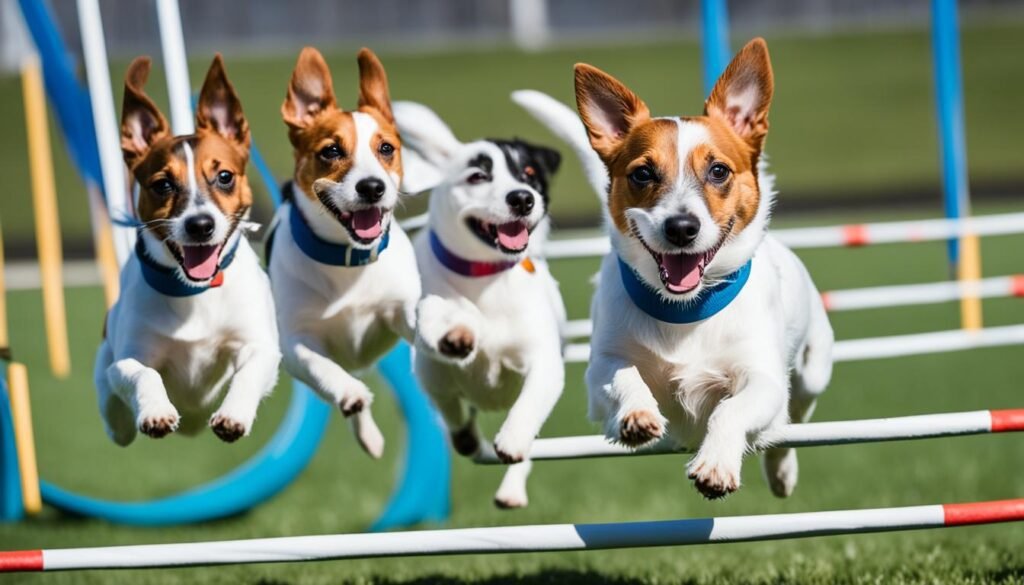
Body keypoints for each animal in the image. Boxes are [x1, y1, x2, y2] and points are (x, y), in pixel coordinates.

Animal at [268, 48, 419, 456]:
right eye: (332, 151)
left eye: (386, 149)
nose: (372, 187)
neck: (347, 260)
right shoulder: (296, 341)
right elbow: (321, 366)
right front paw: (350, 393)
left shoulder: (399, 307)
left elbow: (421, 319)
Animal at [393, 100, 569, 508]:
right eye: (477, 176)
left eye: (529, 174)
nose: (522, 197)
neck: (485, 276)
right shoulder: (431, 350)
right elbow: (437, 319)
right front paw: (455, 332)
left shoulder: (545, 361)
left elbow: (532, 400)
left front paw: (513, 438)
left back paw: (511, 488)